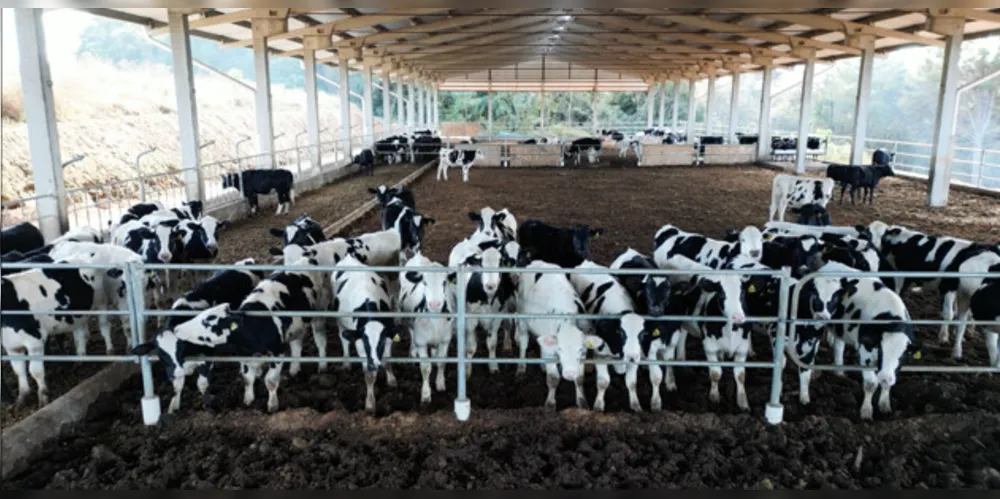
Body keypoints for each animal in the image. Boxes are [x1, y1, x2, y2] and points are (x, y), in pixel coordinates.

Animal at [0, 254, 103, 406]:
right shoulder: (11, 345)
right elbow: (19, 371)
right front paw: (22, 398)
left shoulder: (35, 341)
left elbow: (35, 371)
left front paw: (43, 397)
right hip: (78, 315)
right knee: (79, 333)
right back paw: (80, 359)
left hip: (102, 303)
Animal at [131, 258, 264, 414]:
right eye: (160, 353)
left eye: (180, 349)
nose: (177, 372)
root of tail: (248, 261)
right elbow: (177, 386)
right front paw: (173, 408)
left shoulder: (205, 356)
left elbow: (202, 384)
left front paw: (208, 407)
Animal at [334, 256, 400, 412]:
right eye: (365, 341)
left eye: (381, 341)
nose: (373, 364)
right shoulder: (360, 345)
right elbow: (369, 376)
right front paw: (370, 404)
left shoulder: (388, 336)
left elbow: (388, 360)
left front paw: (391, 380)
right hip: (340, 321)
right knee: (343, 338)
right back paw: (346, 362)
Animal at [396, 254, 456, 406]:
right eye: (424, 282)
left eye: (444, 282)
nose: (434, 304)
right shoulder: (421, 341)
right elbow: (425, 368)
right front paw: (426, 394)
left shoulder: (446, 339)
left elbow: (441, 362)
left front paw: (440, 384)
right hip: (409, 322)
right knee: (411, 333)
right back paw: (413, 353)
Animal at [516, 258, 600, 410]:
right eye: (560, 348)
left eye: (580, 349)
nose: (569, 373)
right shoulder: (552, 351)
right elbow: (553, 379)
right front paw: (550, 404)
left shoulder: (583, 354)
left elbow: (580, 379)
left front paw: (582, 402)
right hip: (522, 317)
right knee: (524, 342)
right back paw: (521, 368)